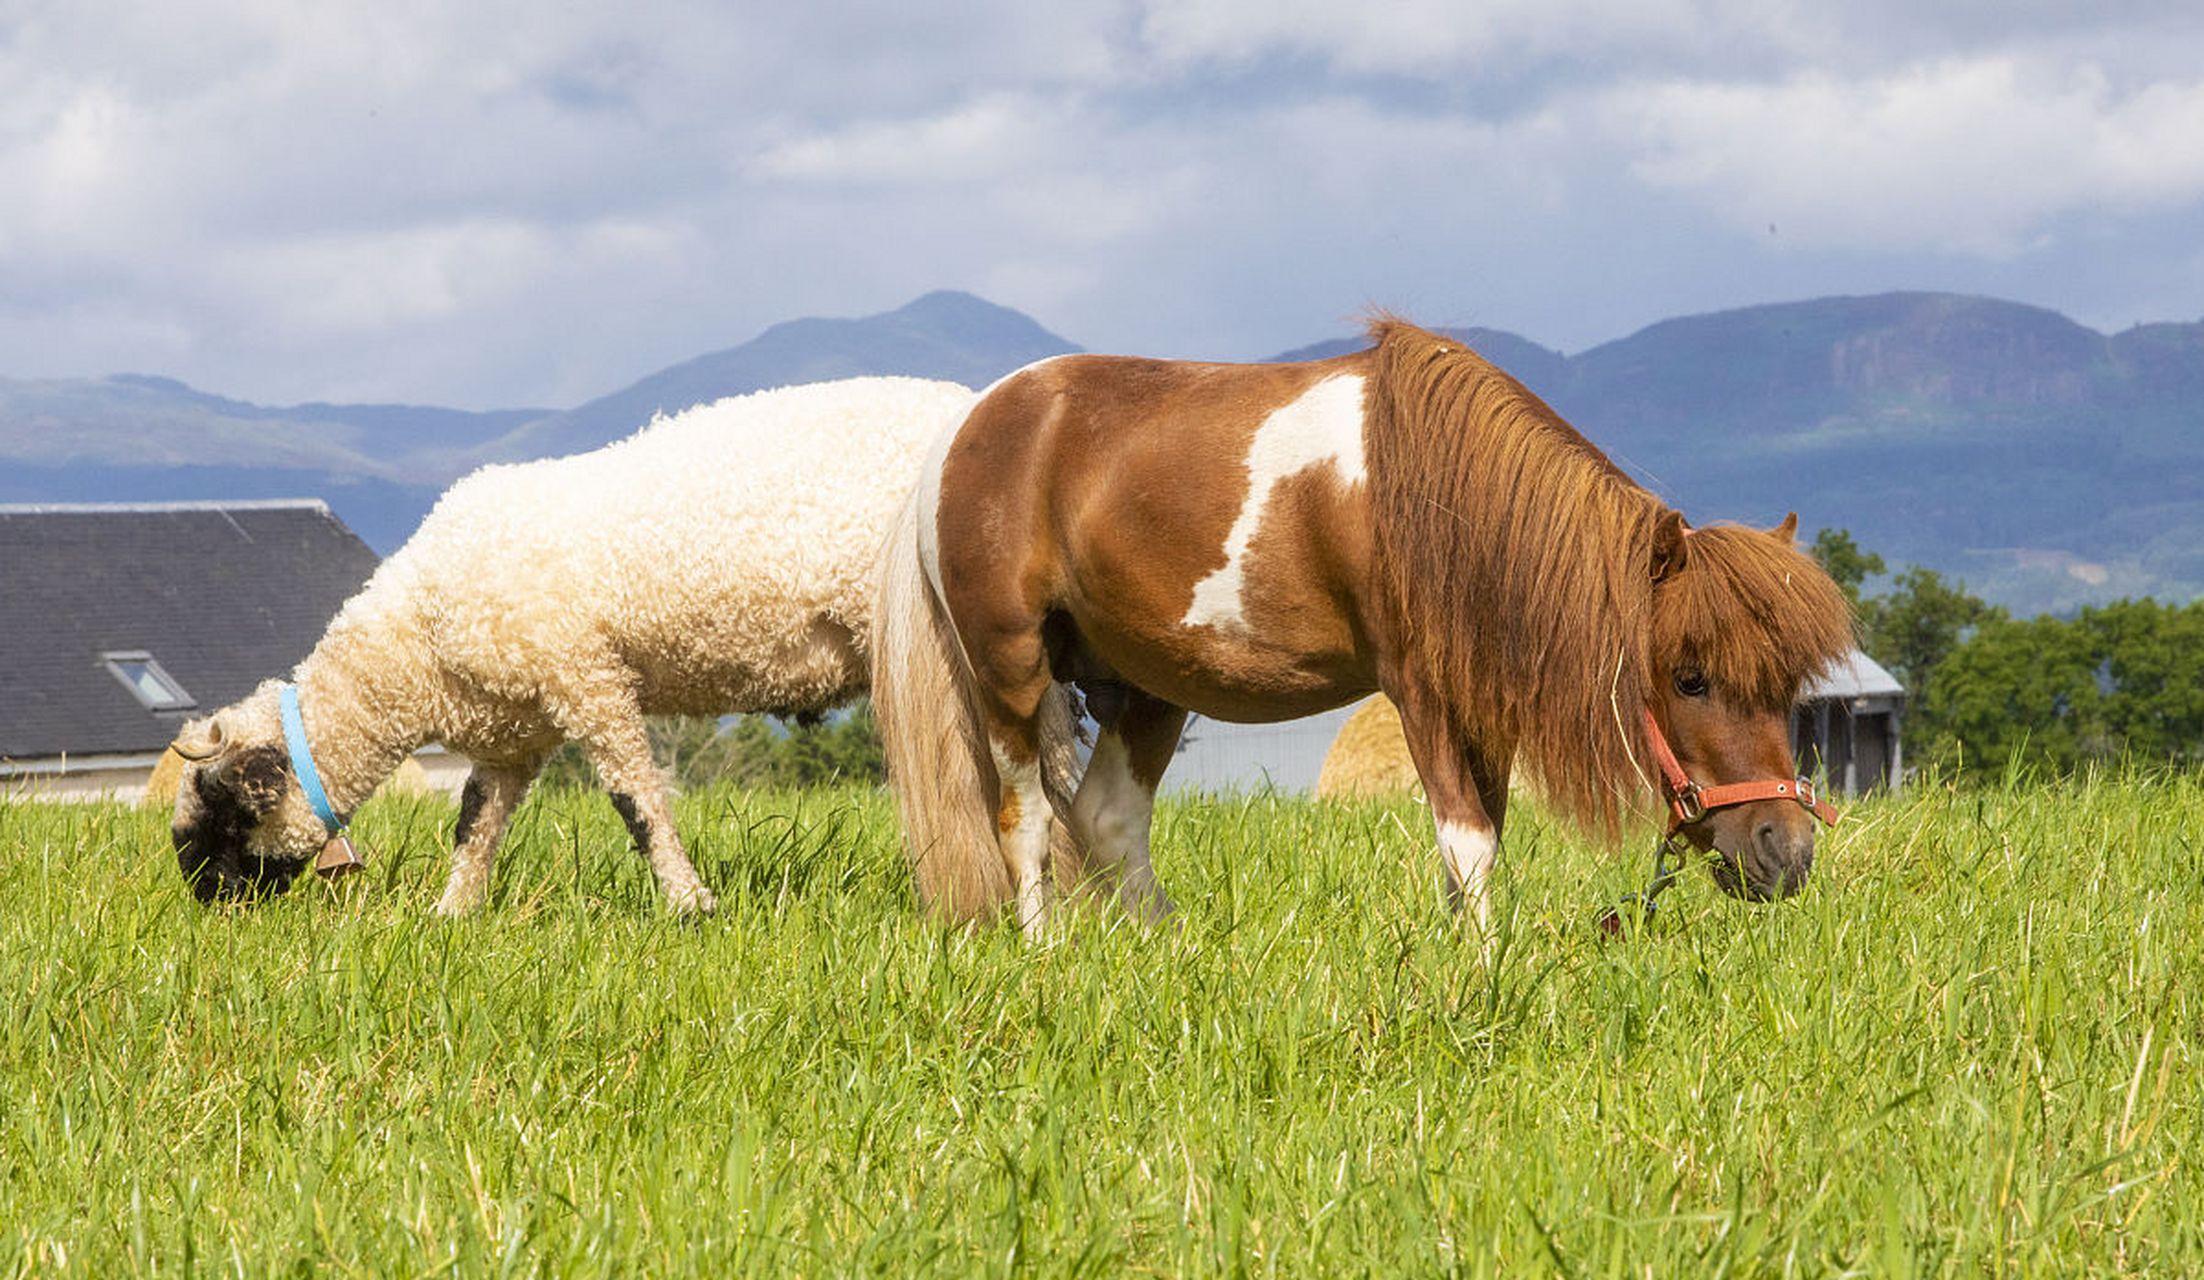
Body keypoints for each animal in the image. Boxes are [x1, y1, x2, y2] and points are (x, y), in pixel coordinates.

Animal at [170, 376, 978, 914]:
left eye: (216, 802)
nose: (206, 905)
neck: (415, 644)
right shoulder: (514, 733)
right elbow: (475, 820)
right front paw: (452, 914)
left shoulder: (587, 676)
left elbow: (635, 800)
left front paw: (690, 905)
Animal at [870, 319, 1855, 938]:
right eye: (1690, 676)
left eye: (1792, 686)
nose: (1790, 851)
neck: (1453, 503)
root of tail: (964, 428)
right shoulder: (1419, 691)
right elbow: (1468, 842)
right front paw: (1485, 977)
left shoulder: (1479, 709)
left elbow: (1481, 841)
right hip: (1013, 676)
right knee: (1027, 819)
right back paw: (1048, 956)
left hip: (1149, 686)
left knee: (1108, 819)